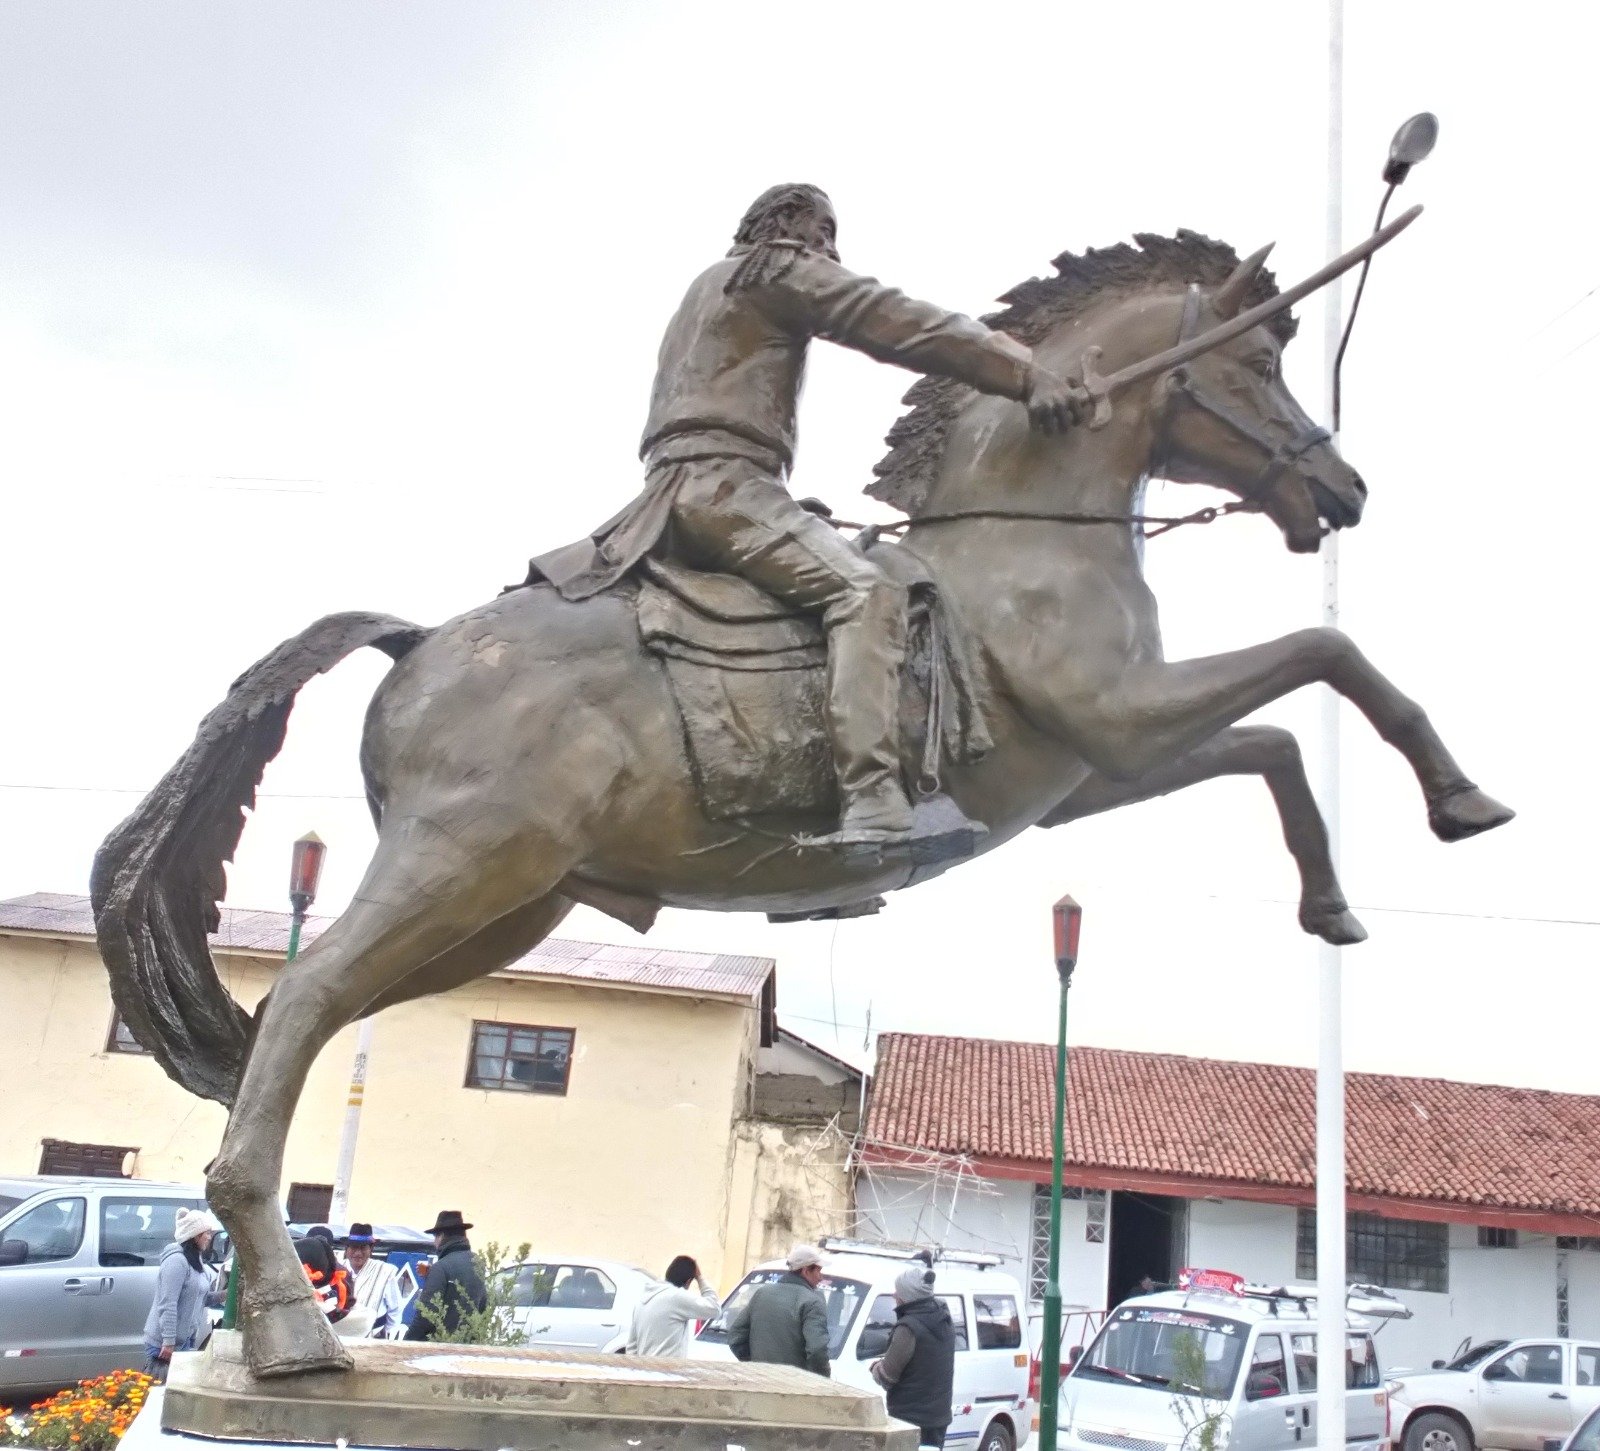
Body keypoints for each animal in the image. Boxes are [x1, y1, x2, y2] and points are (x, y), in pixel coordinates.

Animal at [90, 227, 1510, 1375]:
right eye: (1258, 361)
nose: (1341, 490)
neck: (1022, 535)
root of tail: (420, 641)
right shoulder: (1122, 712)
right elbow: (1324, 660)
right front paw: (1461, 798)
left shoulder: (1099, 763)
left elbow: (1274, 741)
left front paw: (1334, 902)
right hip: (463, 864)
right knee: (304, 1002)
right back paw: (287, 1328)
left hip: (501, 904)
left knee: (299, 1017)